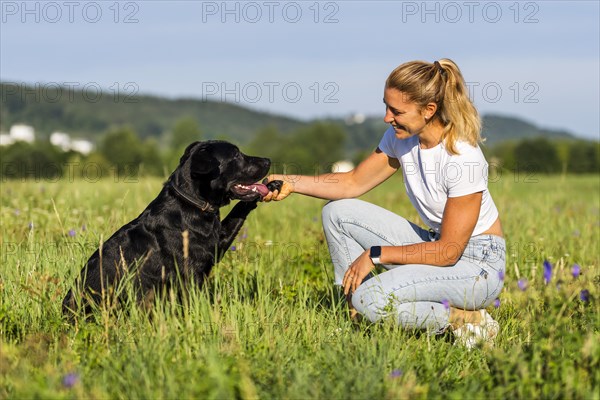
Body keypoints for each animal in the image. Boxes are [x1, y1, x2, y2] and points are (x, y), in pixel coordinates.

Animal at [63, 141, 282, 316]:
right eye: (236, 155)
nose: (268, 160)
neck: (192, 203)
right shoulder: (190, 276)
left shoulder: (217, 244)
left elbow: (238, 210)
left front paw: (272, 185)